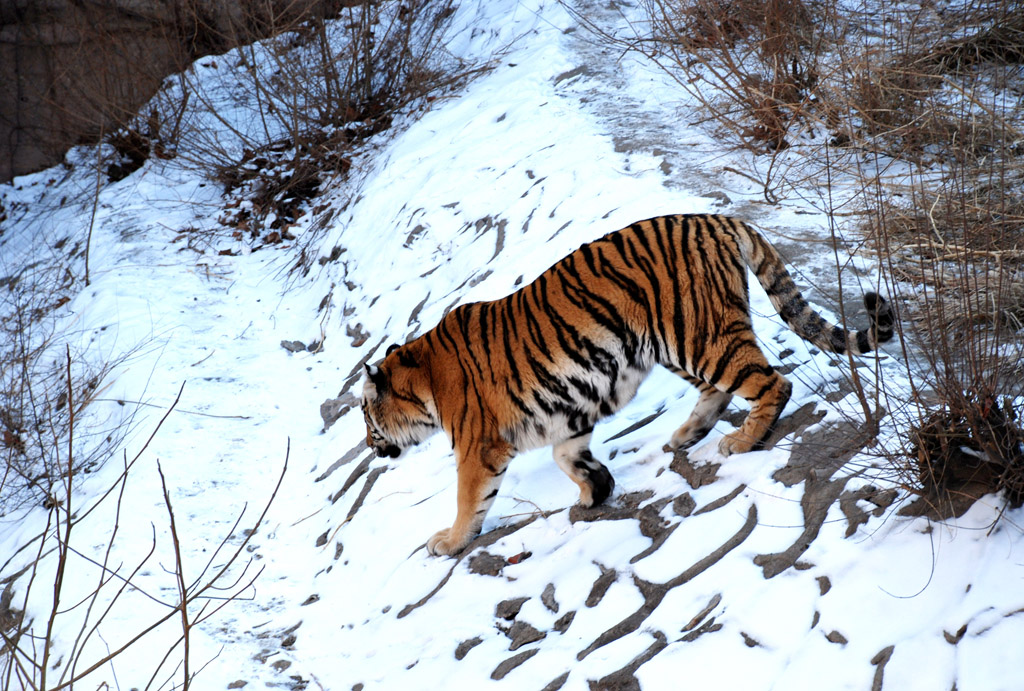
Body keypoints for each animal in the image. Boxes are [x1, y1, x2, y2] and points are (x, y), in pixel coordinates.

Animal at [364, 213, 892, 560]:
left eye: (368, 419)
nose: (371, 448)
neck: (423, 381)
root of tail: (715, 218)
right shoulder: (567, 413)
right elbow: (567, 458)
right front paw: (595, 490)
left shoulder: (478, 445)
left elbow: (468, 499)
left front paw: (449, 542)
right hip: (672, 345)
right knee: (718, 391)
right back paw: (687, 435)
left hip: (701, 335)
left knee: (771, 382)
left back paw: (742, 441)